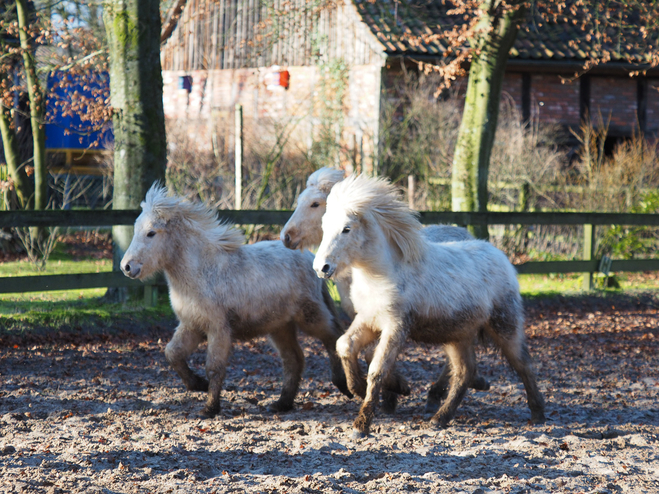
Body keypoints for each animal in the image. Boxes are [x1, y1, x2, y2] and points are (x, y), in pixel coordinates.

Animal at [122, 184, 354, 416]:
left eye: (151, 233)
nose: (126, 267)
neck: (202, 272)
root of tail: (311, 260)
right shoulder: (191, 325)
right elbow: (172, 353)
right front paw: (198, 384)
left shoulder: (218, 329)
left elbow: (214, 367)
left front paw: (209, 408)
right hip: (281, 326)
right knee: (294, 359)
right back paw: (281, 404)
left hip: (310, 316)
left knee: (333, 337)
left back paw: (344, 385)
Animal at [314, 176, 548, 438]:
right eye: (324, 226)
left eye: (346, 228)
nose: (321, 267)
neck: (384, 273)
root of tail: (503, 258)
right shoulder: (369, 320)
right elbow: (345, 345)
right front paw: (358, 387)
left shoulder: (395, 327)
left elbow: (377, 368)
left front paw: (361, 425)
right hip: (459, 336)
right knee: (464, 372)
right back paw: (440, 418)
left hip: (505, 327)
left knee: (523, 364)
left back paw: (538, 415)